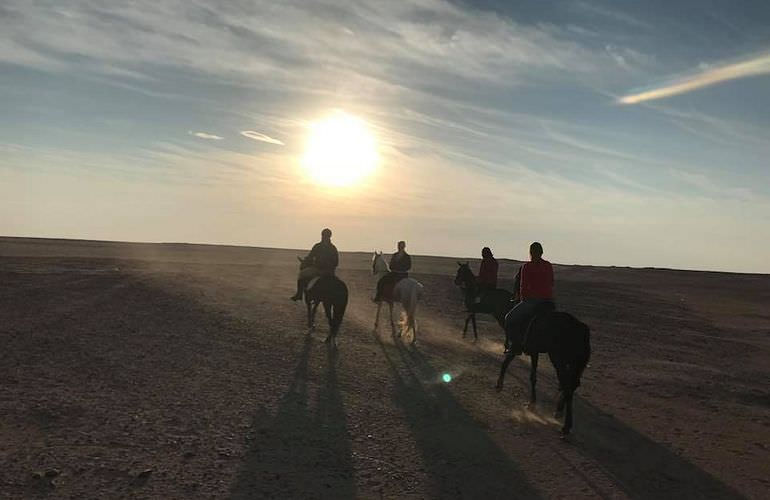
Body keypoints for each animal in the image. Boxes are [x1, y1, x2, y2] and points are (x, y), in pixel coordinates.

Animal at [450, 262, 588, 434]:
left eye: (460, 271)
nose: (456, 281)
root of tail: (579, 327)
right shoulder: (534, 351)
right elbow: (532, 376)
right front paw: (532, 403)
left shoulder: (516, 342)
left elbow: (504, 361)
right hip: (574, 362)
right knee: (572, 384)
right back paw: (559, 410)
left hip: (558, 357)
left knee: (567, 384)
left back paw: (565, 424)